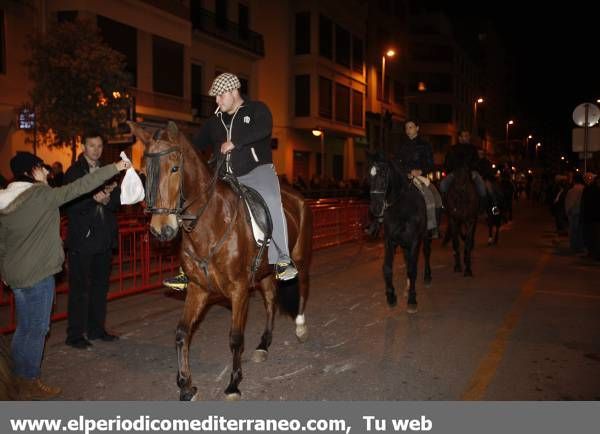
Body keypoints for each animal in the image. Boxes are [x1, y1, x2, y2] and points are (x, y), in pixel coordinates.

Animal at [128, 121, 312, 400]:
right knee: (271, 301)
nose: (162, 230)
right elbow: (182, 333)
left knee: (301, 287)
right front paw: (186, 385)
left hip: (300, 257)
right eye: (145, 172)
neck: (209, 224)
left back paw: (300, 326)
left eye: (175, 168)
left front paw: (233, 384)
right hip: (265, 273)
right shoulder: (198, 289)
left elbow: (235, 337)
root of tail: (298, 197)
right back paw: (263, 345)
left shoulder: (239, 290)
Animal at [366, 156, 432, 312]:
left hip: (425, 236)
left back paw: (427, 276)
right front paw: (391, 296)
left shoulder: (414, 241)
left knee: (426, 253)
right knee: (408, 260)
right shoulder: (390, 241)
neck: (402, 208)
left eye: (383, 175)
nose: (375, 208)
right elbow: (387, 268)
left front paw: (412, 299)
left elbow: (412, 269)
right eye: (369, 177)